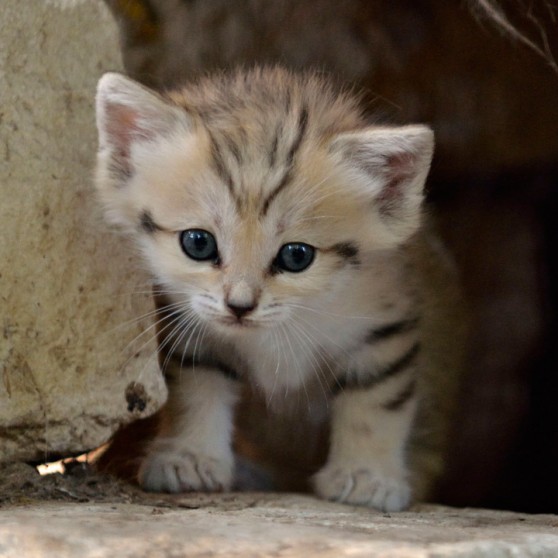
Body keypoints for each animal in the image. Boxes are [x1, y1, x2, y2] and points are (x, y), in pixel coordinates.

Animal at [96, 68, 464, 516]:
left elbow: (374, 402)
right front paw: (190, 456)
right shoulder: (188, 327)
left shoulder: (385, 328)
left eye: (296, 255)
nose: (239, 306)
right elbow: (196, 389)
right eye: (198, 243)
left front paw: (366, 475)